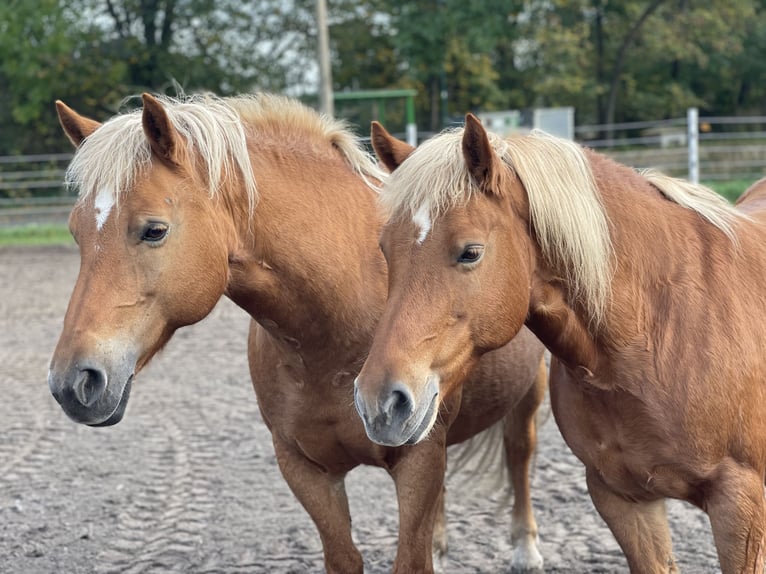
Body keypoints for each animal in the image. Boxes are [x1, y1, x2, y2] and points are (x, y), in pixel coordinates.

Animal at [46, 92, 552, 572]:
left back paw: (526, 549)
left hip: (528, 397)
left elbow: (412, 559)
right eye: (75, 233)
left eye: (154, 230)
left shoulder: (418, 459)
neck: (333, 337)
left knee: (520, 457)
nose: (72, 382)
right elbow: (345, 557)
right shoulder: (305, 468)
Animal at [356, 118, 766, 574]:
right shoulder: (624, 500)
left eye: (471, 252)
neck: (662, 333)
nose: (379, 403)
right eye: (385, 250)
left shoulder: (740, 507)